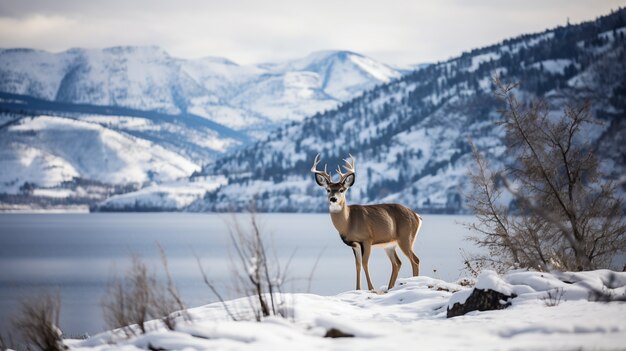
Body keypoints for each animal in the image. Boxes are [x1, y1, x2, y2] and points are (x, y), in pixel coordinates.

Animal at [310, 154, 422, 292]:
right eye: (328, 189)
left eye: (342, 190)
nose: (333, 199)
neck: (349, 223)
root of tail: (417, 216)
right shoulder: (354, 244)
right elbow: (357, 264)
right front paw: (357, 289)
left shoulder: (367, 239)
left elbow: (365, 263)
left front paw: (371, 288)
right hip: (390, 244)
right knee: (397, 263)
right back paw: (390, 287)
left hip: (406, 237)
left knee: (415, 260)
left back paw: (414, 283)